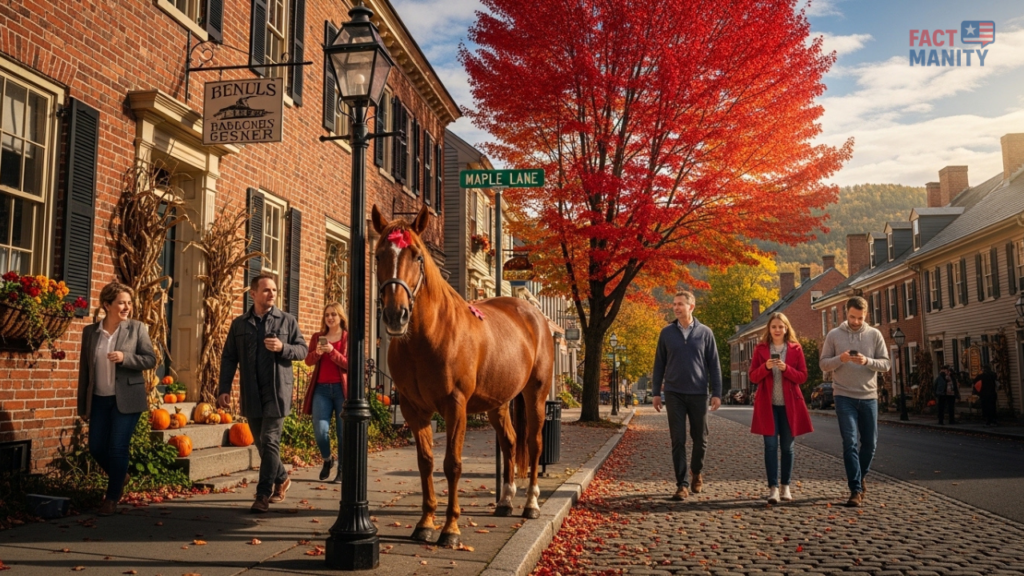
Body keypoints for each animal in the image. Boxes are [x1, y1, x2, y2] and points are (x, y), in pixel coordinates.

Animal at [371, 204, 554, 548]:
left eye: (417, 256)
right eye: (377, 255)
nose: (395, 314)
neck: (428, 336)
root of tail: (531, 313)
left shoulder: (455, 406)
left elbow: (452, 464)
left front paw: (450, 529)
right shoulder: (413, 410)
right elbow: (426, 462)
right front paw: (425, 523)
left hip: (535, 394)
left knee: (534, 444)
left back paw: (531, 503)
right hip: (498, 402)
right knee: (510, 442)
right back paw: (505, 501)